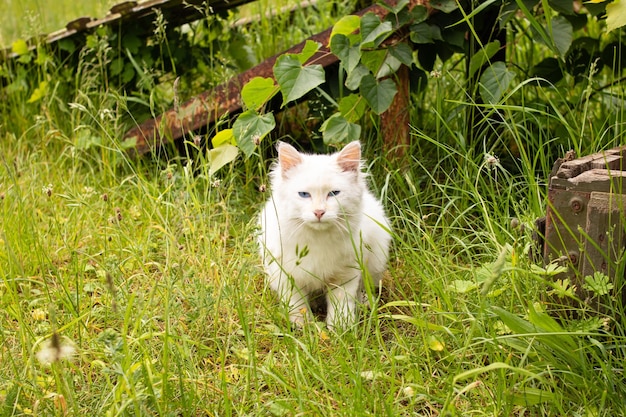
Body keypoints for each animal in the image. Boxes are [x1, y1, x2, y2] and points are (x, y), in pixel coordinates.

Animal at [256, 141, 388, 326]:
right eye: (304, 194)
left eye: (333, 193)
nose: (319, 212)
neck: (317, 239)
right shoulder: (288, 276)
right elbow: (297, 304)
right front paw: (302, 325)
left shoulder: (345, 276)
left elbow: (341, 304)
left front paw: (340, 327)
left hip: (374, 262)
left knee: (363, 288)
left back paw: (365, 303)